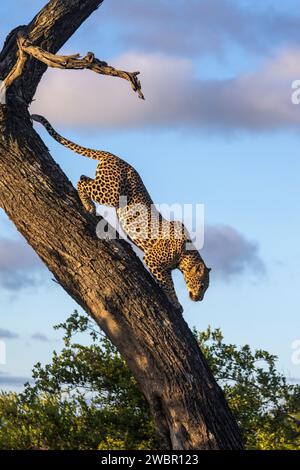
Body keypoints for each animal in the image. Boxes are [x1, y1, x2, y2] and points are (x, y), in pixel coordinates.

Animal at [29, 113, 209, 312]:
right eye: (202, 286)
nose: (200, 299)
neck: (185, 256)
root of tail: (113, 155)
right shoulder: (152, 259)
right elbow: (168, 284)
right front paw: (175, 303)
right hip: (112, 193)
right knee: (82, 180)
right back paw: (89, 206)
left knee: (83, 177)